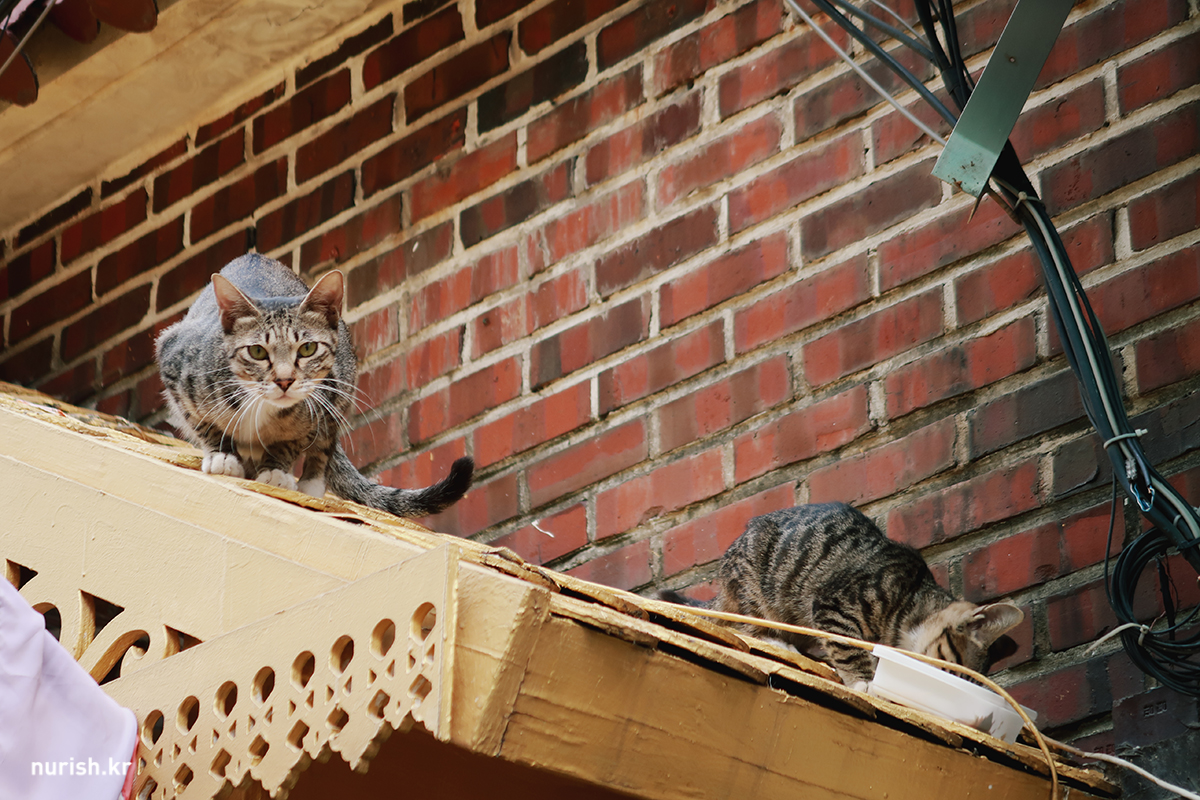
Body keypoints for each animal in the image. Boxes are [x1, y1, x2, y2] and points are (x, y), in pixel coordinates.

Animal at [155, 252, 472, 518]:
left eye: (307, 349)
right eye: (257, 351)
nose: (284, 380)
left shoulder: (325, 399)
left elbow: (296, 441)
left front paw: (276, 469)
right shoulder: (172, 359)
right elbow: (203, 423)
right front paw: (222, 455)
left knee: (325, 442)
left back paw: (310, 483)